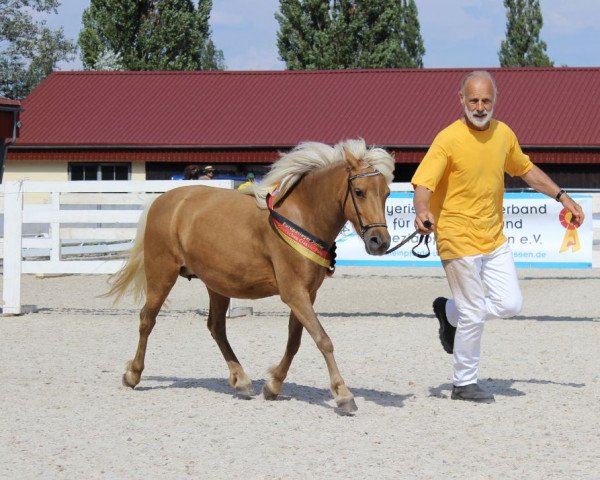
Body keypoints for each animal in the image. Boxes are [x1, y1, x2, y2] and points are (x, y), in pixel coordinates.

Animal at [107, 138, 394, 412]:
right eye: (359, 192)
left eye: (387, 193)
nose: (379, 241)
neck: (301, 217)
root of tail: (163, 200)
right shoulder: (294, 293)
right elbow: (323, 340)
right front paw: (343, 395)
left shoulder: (307, 294)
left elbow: (295, 341)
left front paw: (273, 385)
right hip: (162, 273)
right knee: (147, 319)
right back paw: (133, 375)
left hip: (216, 284)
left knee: (216, 327)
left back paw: (242, 381)